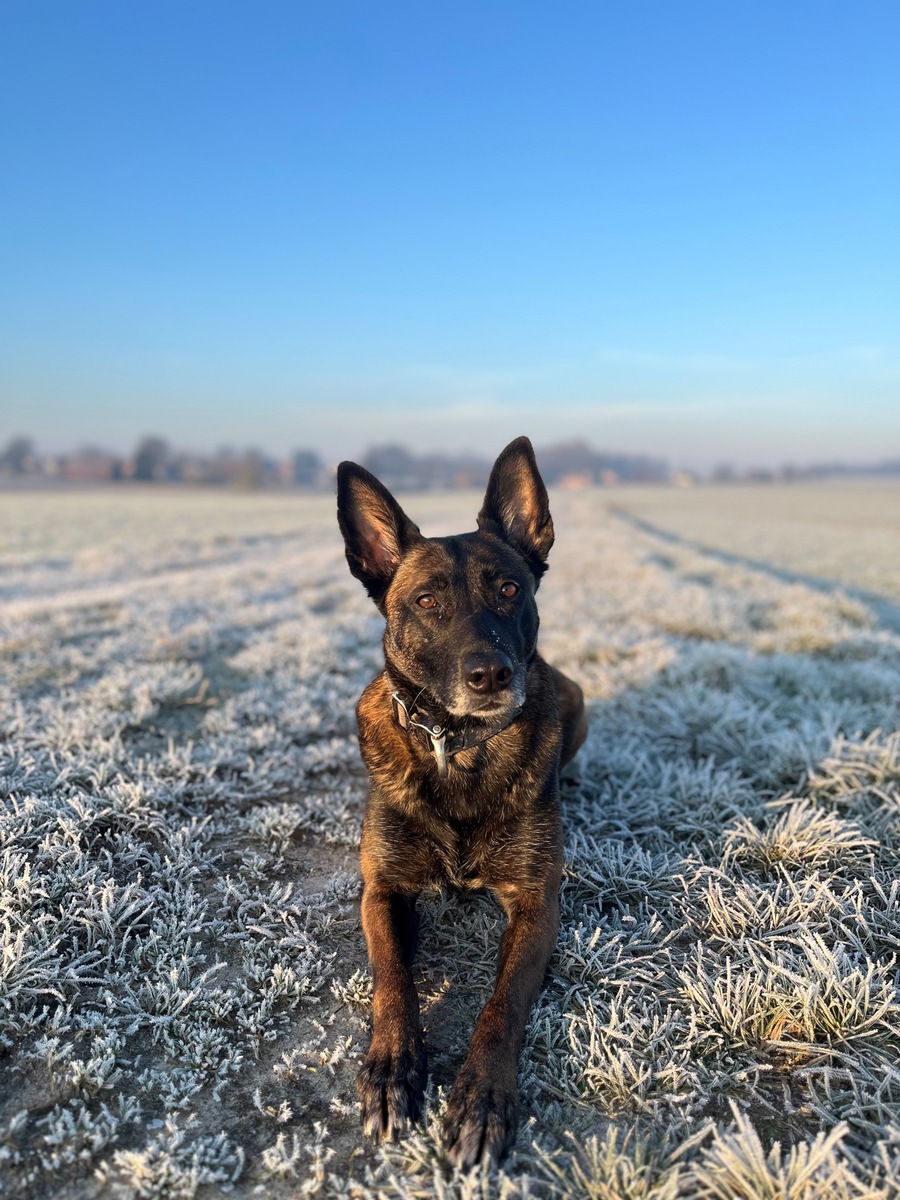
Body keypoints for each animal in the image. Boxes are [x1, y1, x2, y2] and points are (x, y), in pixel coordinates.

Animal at [336, 436, 588, 1166]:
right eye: (426, 601)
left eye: (508, 589)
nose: (491, 675)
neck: (459, 747)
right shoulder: (382, 890)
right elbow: (392, 979)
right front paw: (392, 1070)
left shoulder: (536, 903)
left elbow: (500, 1009)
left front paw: (481, 1099)